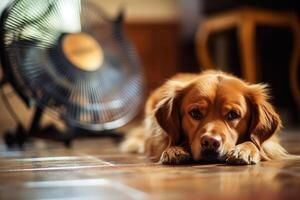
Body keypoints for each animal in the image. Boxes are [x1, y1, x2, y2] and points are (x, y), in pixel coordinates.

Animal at [120, 69, 292, 165]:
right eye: (195, 113)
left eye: (233, 114)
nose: (210, 142)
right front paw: (174, 150)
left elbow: (255, 142)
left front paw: (244, 150)